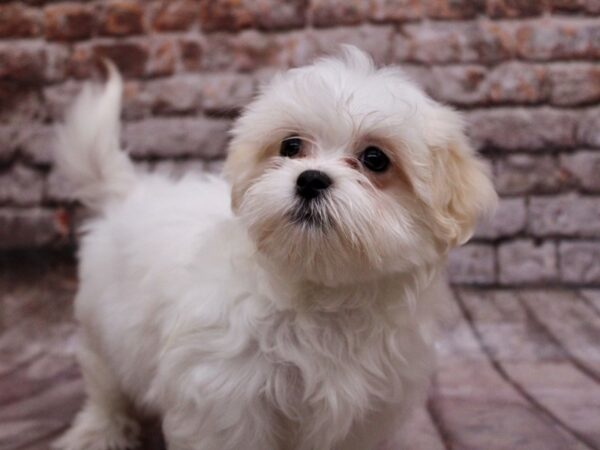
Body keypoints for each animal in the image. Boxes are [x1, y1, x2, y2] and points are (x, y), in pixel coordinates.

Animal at [55, 46, 496, 450]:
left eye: (375, 159)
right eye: (290, 147)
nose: (311, 179)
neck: (324, 296)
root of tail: (131, 191)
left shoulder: (371, 410)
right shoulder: (224, 397)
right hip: (103, 327)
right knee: (106, 386)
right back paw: (98, 431)